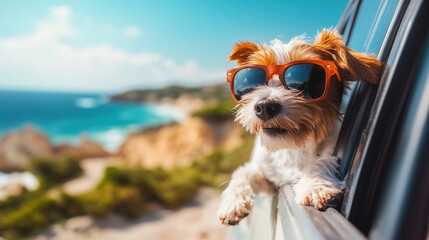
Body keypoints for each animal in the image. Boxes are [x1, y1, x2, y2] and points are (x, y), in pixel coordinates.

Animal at [219, 28, 380, 225]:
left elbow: (319, 160)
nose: (264, 107)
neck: (292, 147)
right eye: (251, 80)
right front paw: (232, 201)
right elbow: (243, 172)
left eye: (307, 80)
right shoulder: (269, 175)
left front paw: (315, 185)